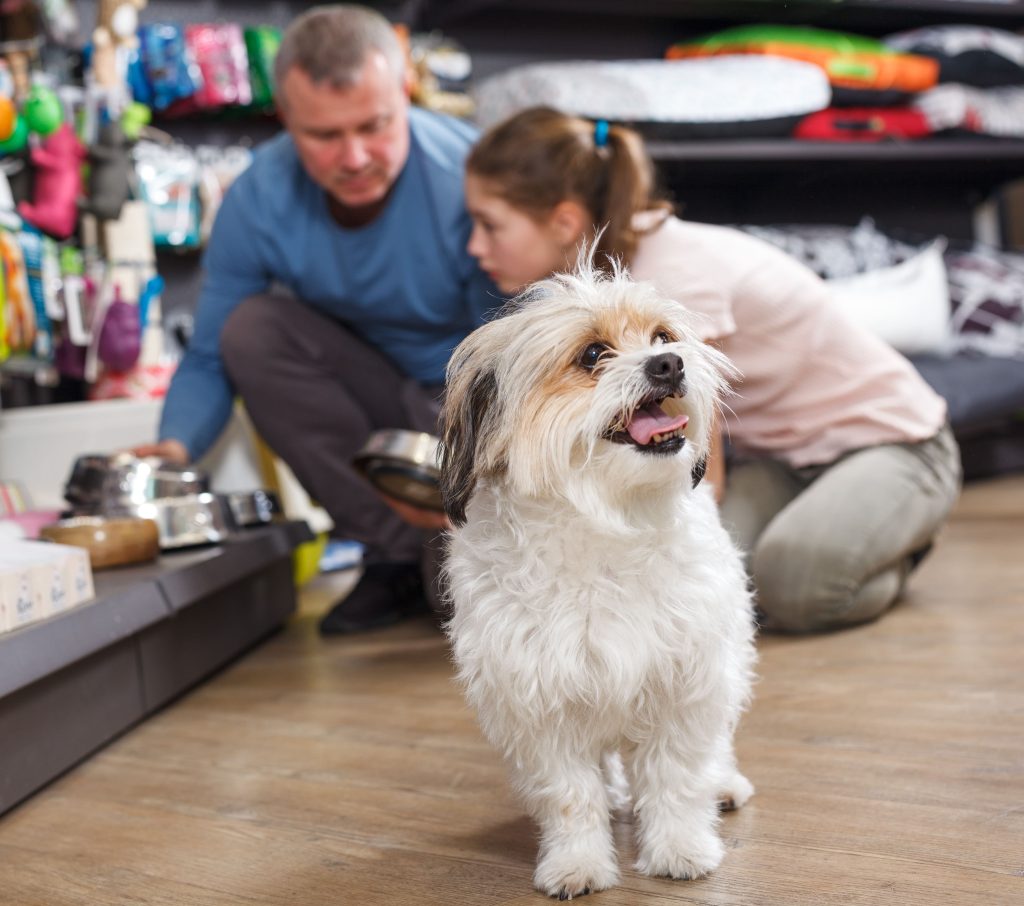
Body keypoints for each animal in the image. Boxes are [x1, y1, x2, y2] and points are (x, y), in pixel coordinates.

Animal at [436, 262, 757, 896]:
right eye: (591, 354)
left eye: (662, 336)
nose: (670, 364)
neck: (607, 520)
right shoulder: (538, 704)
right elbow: (569, 797)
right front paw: (577, 863)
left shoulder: (684, 683)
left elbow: (677, 779)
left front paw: (680, 848)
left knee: (717, 744)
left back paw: (725, 783)